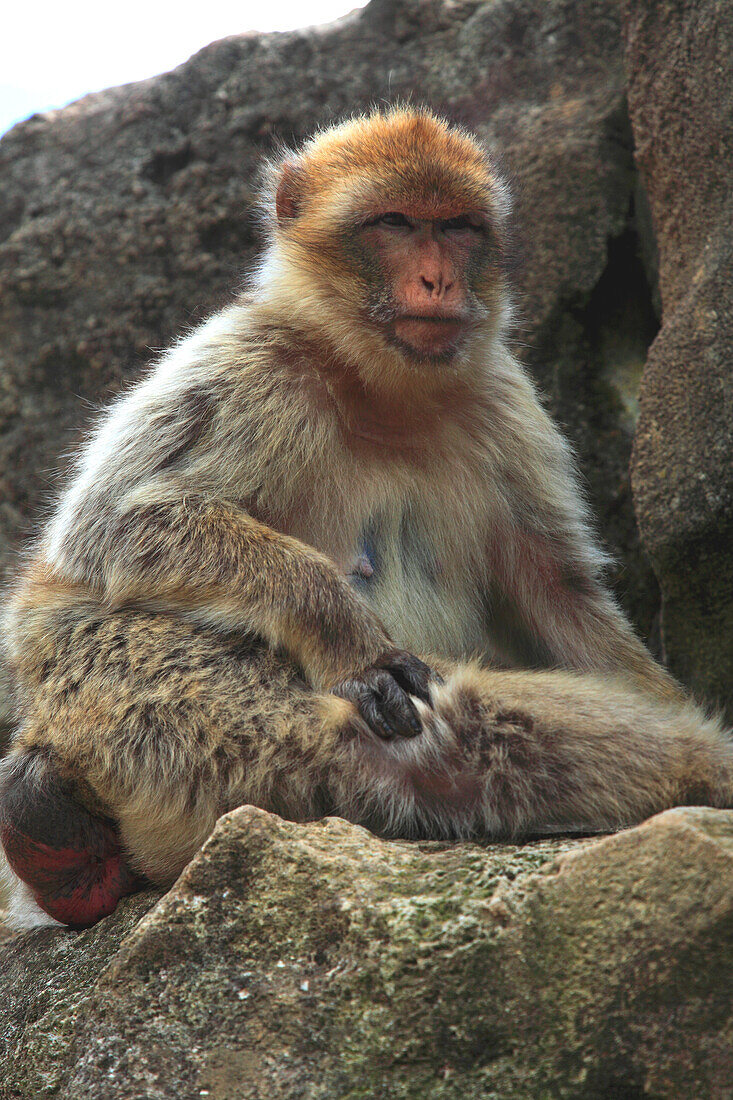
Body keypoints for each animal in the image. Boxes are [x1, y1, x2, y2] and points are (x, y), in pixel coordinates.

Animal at [1, 109, 730, 928]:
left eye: (457, 228)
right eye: (394, 223)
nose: (438, 279)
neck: (383, 392)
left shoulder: (505, 403)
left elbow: (556, 592)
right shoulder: (249, 366)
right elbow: (114, 528)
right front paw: (352, 640)